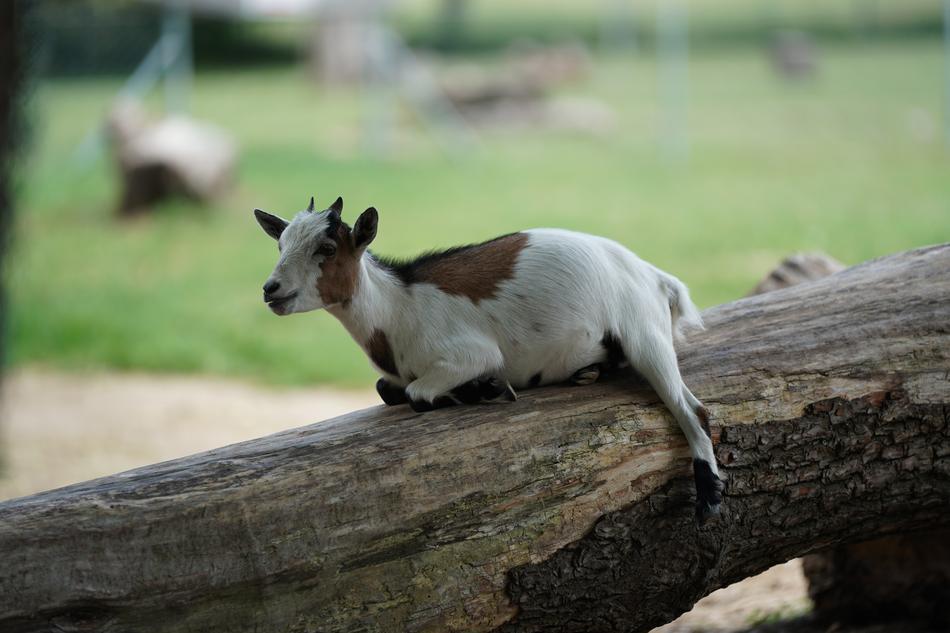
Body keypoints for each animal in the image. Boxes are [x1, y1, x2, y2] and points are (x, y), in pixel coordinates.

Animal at [254, 196, 724, 520]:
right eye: (280, 244)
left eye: (328, 248)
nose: (271, 289)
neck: (397, 311)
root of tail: (653, 275)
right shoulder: (395, 373)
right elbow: (387, 388)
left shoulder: (468, 353)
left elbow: (418, 394)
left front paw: (486, 387)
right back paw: (588, 370)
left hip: (644, 333)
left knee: (693, 410)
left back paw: (710, 495)